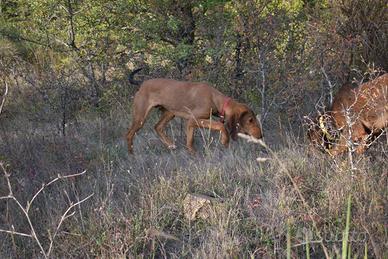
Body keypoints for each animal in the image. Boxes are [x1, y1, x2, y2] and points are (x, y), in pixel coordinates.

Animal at [126, 69, 262, 154]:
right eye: (250, 120)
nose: (260, 136)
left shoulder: (191, 123)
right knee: (129, 134)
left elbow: (190, 140)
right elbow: (220, 125)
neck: (214, 98)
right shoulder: (194, 119)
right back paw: (132, 155)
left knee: (158, 127)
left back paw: (170, 145)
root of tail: (142, 84)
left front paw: (192, 153)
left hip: (170, 113)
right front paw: (225, 140)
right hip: (140, 117)